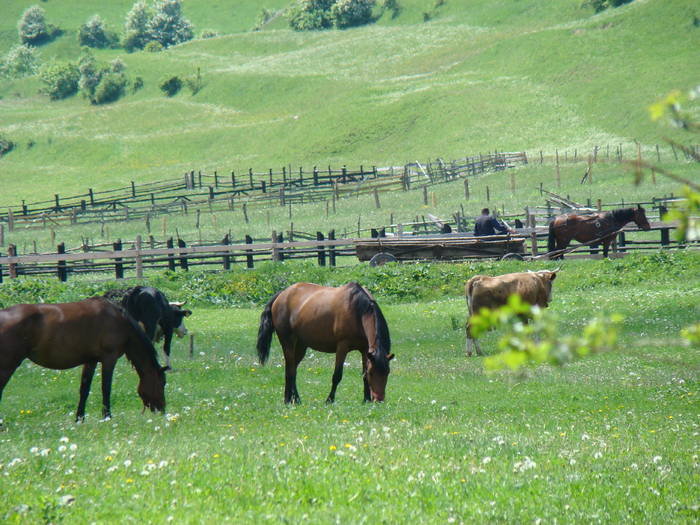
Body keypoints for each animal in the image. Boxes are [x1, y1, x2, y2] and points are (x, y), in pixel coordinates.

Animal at [0, 294, 165, 422]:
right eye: (162, 383)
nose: (163, 410)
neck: (118, 319)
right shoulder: (109, 358)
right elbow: (106, 388)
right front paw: (107, 416)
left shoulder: (90, 361)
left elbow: (84, 389)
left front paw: (80, 418)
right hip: (7, 366)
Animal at [256, 282, 394, 402]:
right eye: (372, 373)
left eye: (387, 372)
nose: (379, 399)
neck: (358, 311)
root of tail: (282, 294)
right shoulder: (342, 347)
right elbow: (337, 375)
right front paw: (329, 400)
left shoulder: (365, 349)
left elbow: (364, 376)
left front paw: (366, 399)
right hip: (287, 341)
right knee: (290, 370)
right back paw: (288, 400)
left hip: (301, 345)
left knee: (292, 368)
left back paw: (295, 399)